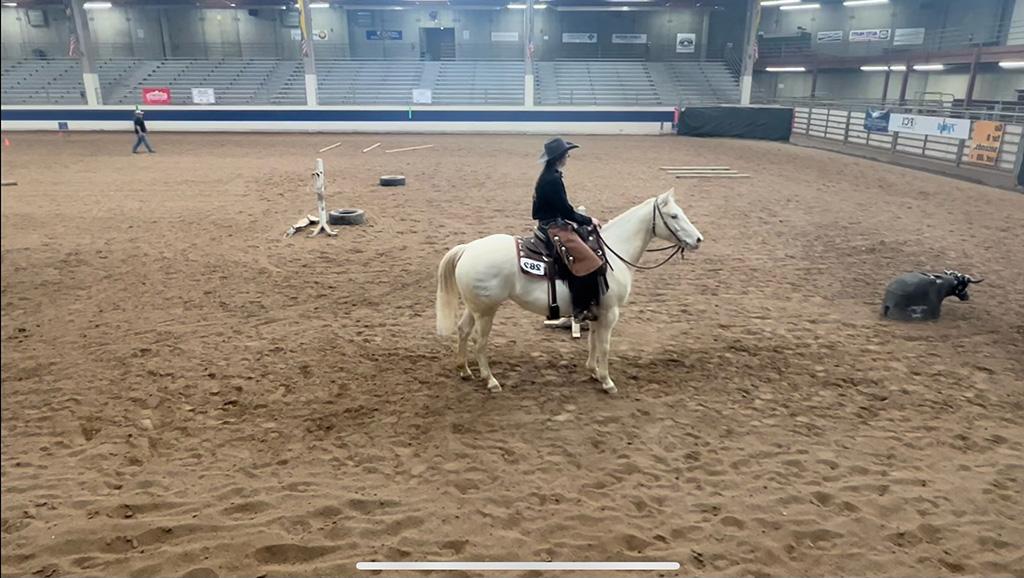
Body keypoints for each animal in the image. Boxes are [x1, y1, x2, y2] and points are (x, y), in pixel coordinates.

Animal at [432, 187, 704, 395]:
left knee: (463, 331)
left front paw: (594, 372)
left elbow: (593, 342)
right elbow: (604, 346)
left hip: (476, 307)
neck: (612, 253)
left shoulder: (596, 312)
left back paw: (465, 370)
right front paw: (607, 381)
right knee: (480, 343)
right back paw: (491, 381)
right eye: (674, 215)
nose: (698, 240)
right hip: (487, 312)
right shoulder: (610, 313)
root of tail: (468, 248)